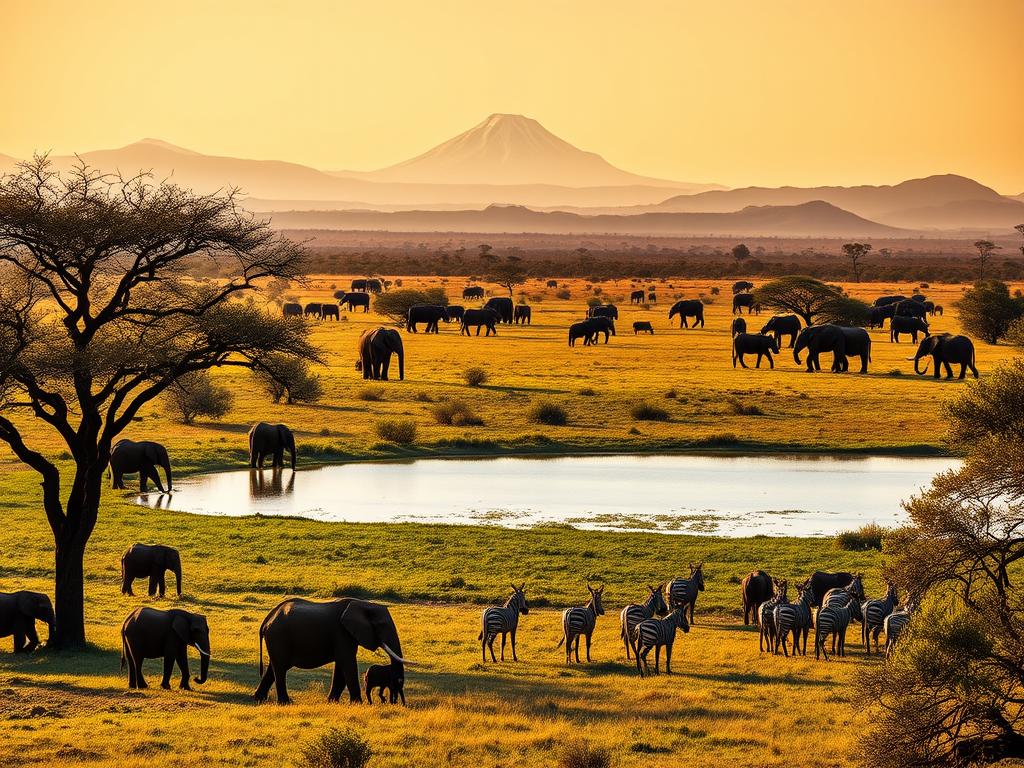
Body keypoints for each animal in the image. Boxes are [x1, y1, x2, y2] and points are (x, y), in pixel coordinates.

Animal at [254, 597, 410, 705]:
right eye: (382, 626)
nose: (393, 702)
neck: (364, 604)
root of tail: (267, 619)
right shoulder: (342, 633)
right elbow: (347, 662)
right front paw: (357, 704)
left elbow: (341, 667)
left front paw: (332, 702)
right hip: (278, 637)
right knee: (280, 668)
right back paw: (285, 703)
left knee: (274, 668)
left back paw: (259, 699)